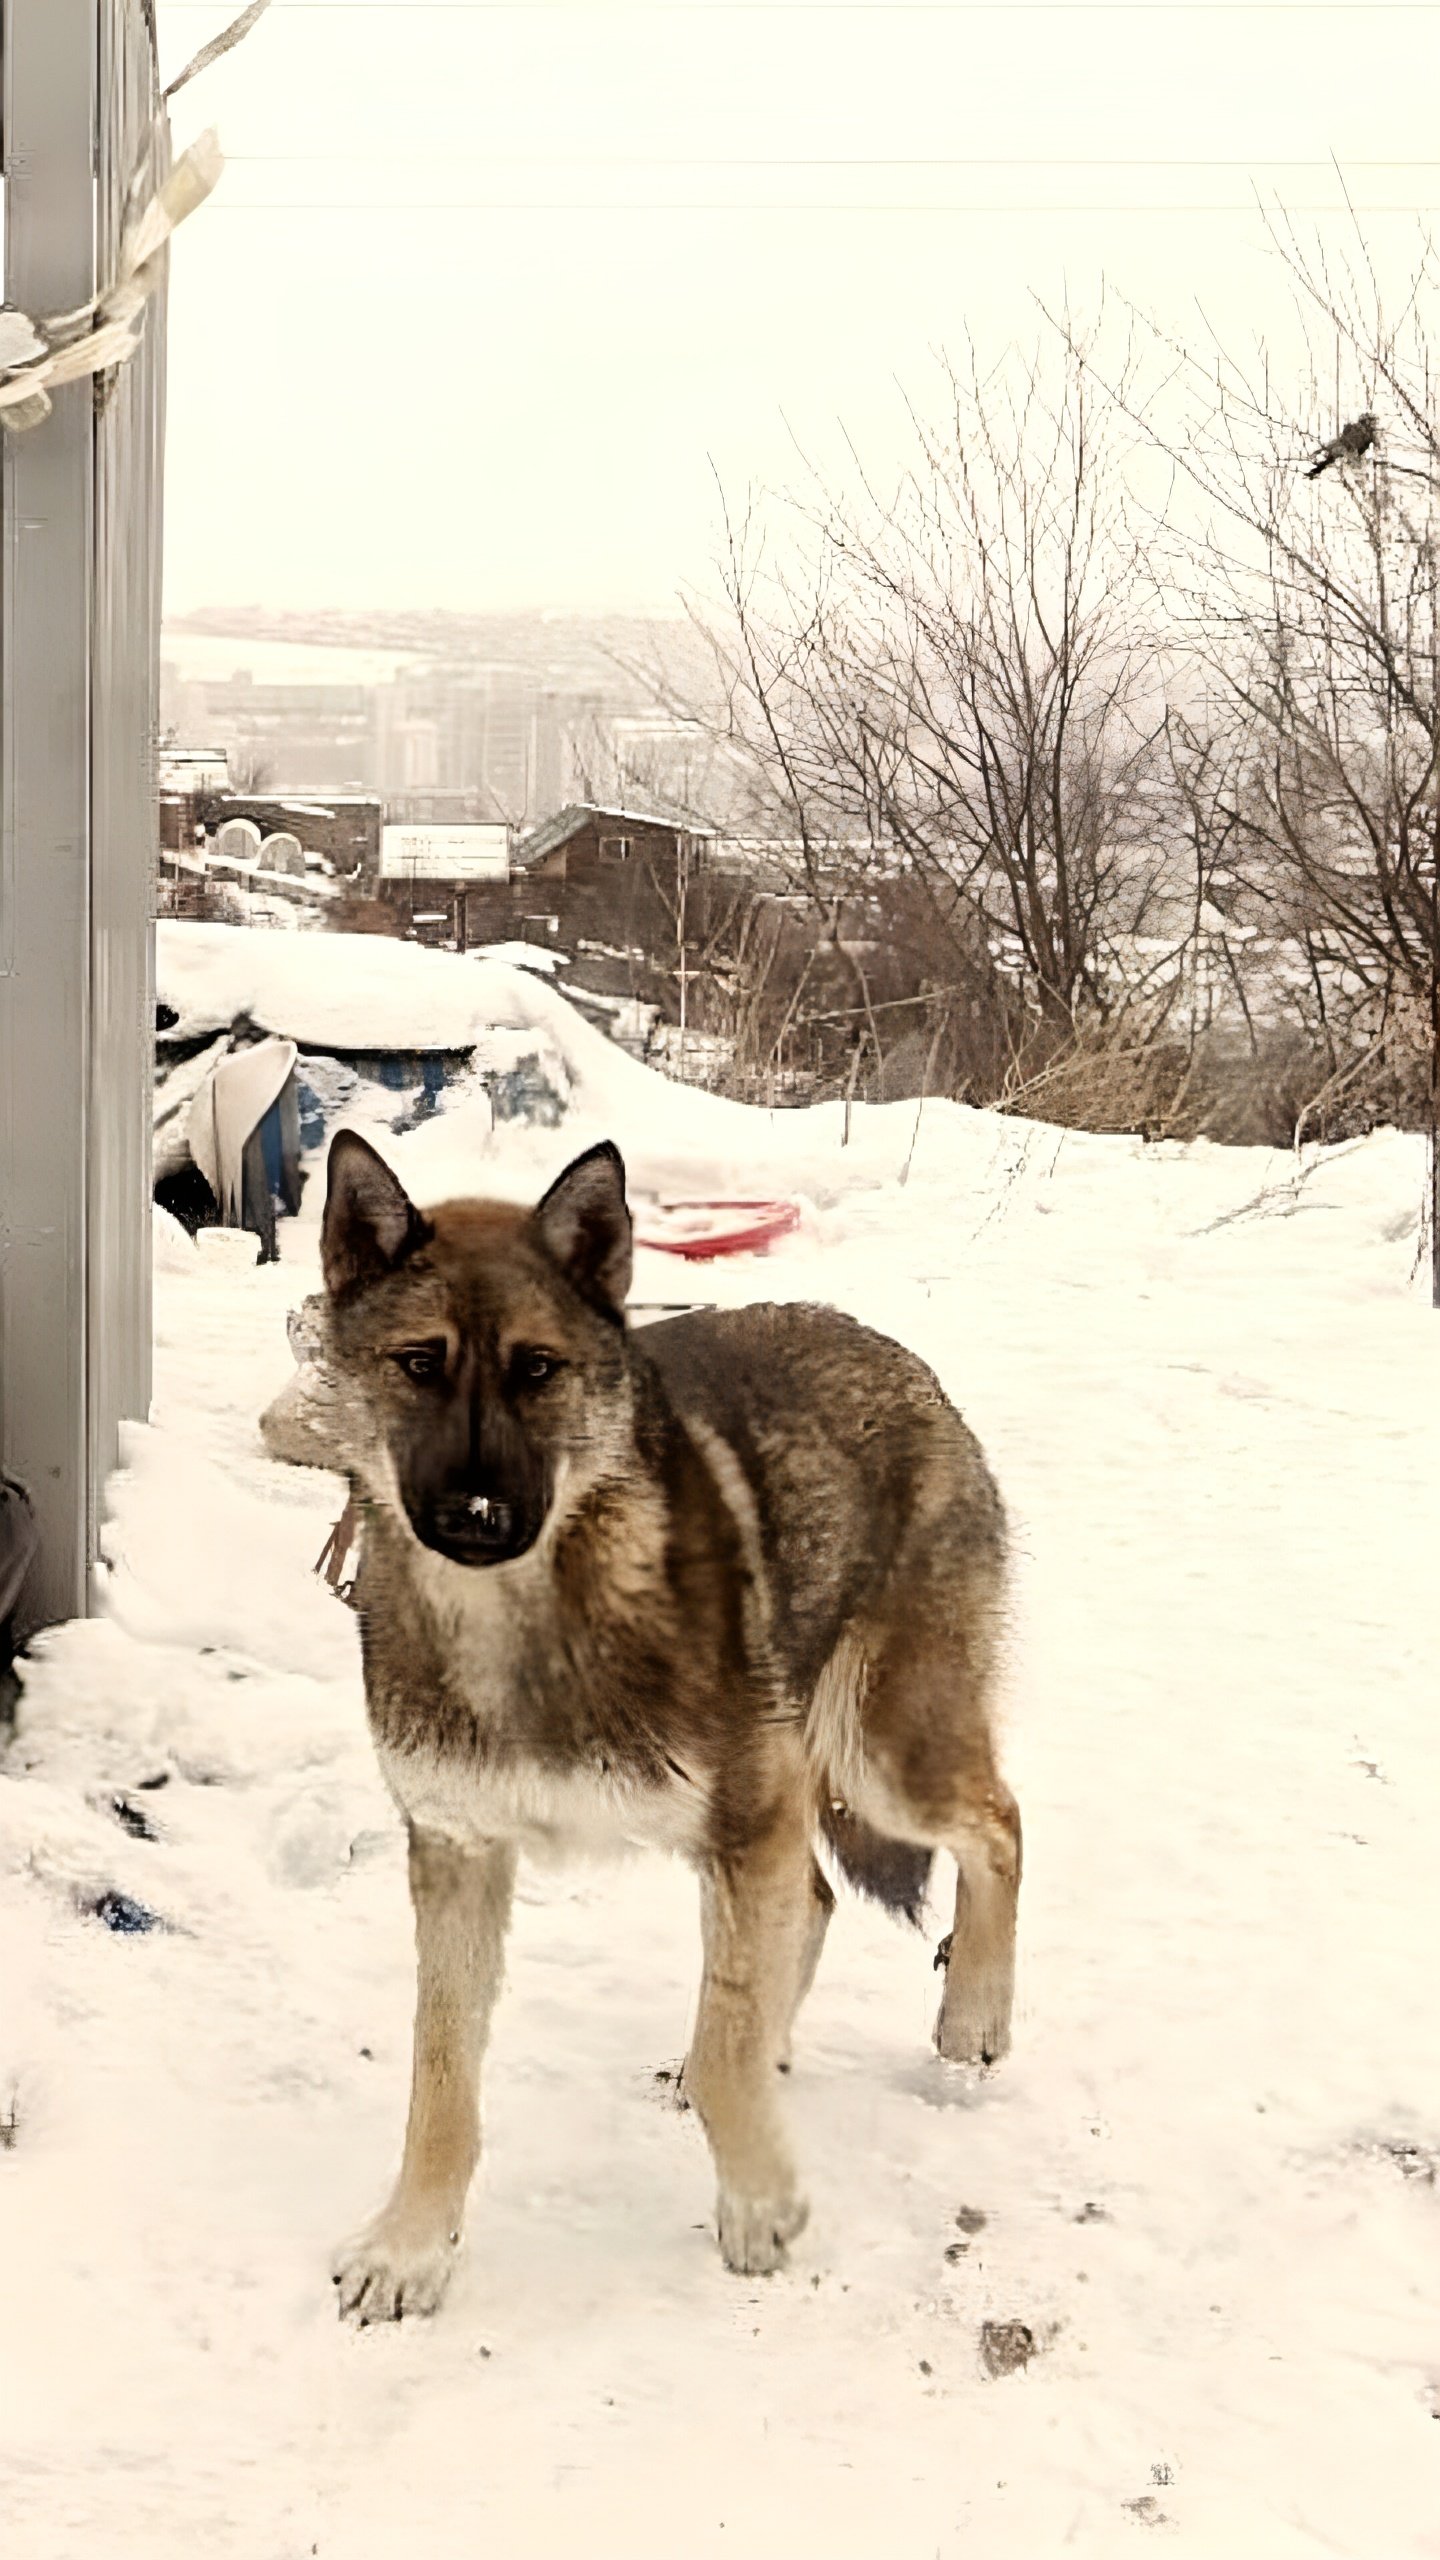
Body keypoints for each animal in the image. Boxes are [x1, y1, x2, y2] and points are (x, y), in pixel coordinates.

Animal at [302, 1136, 1019, 2324]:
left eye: (538, 1370)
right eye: (417, 1364)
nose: (476, 1515)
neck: (525, 1620)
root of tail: (898, 1358)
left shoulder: (745, 1818)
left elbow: (725, 2048)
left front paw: (759, 2206)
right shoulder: (460, 1854)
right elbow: (440, 2077)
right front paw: (411, 2245)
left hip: (881, 1759)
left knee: (998, 1827)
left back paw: (972, 2022)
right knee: (814, 1903)